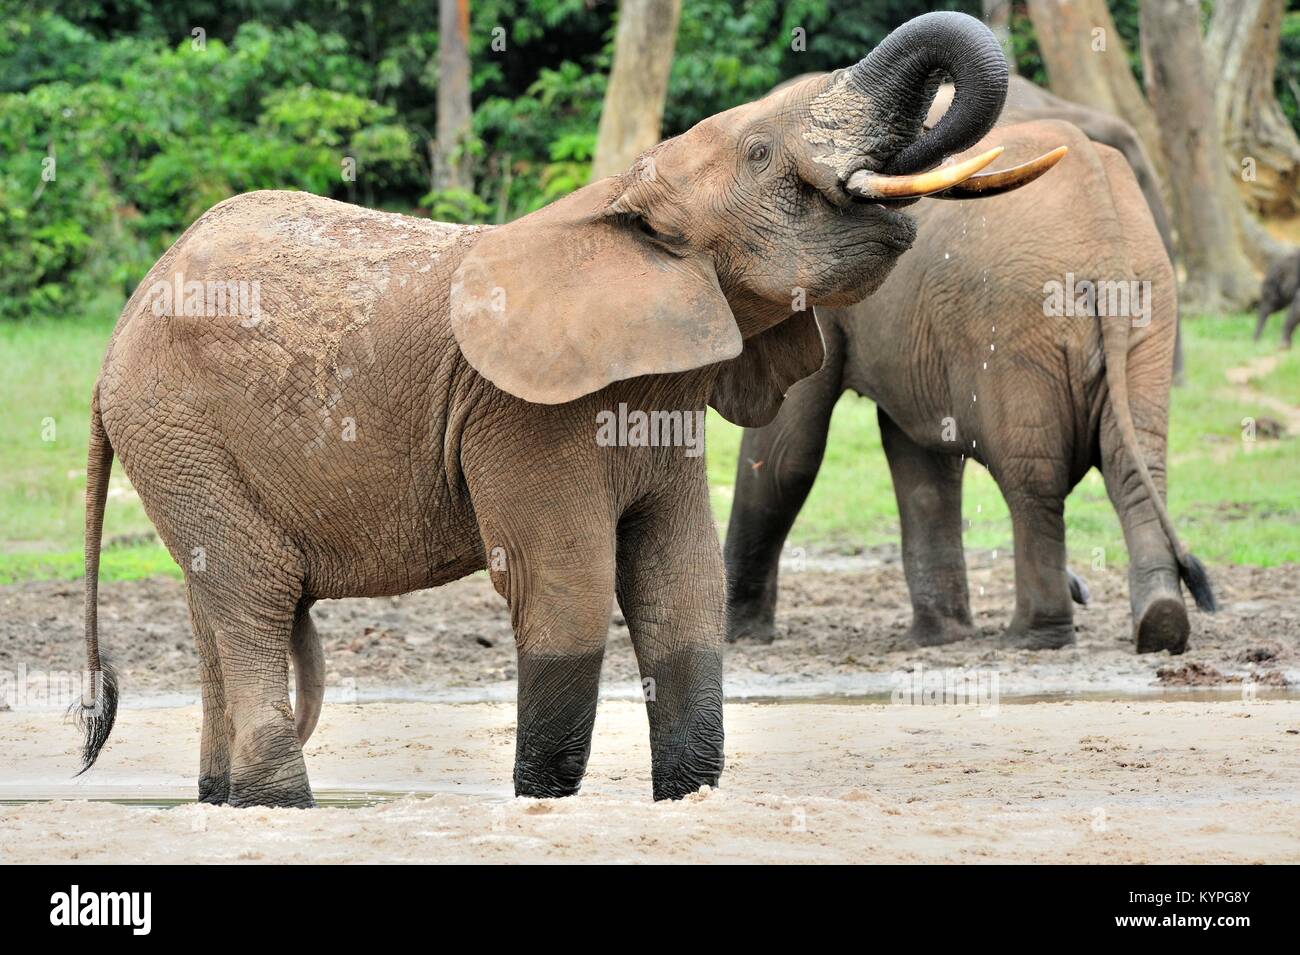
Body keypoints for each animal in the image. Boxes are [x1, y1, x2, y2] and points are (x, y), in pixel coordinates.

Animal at [74, 13, 1061, 807]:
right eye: (759, 153)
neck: (619, 200)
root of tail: (119, 328)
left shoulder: (662, 399)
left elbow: (682, 591)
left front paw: (688, 801)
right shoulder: (522, 413)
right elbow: (570, 593)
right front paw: (543, 803)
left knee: (216, 603)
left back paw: (222, 802)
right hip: (180, 429)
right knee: (256, 600)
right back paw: (282, 806)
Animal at [724, 117, 1215, 657]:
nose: (1082, 590)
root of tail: (1105, 239)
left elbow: (787, 453)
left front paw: (736, 635)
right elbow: (921, 462)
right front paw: (941, 638)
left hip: (1017, 322)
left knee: (1033, 477)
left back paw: (1034, 637)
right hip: (1148, 310)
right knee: (1134, 464)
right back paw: (1160, 626)